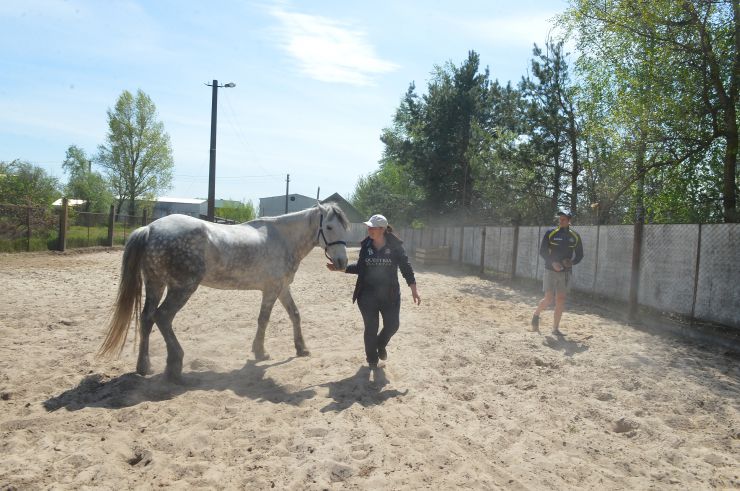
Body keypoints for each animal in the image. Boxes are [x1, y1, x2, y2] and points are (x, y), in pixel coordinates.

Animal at [97, 202, 348, 382]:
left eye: (344, 227)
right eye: (329, 227)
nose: (342, 262)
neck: (282, 239)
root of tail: (149, 228)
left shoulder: (282, 287)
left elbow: (294, 315)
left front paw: (301, 348)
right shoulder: (272, 289)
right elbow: (263, 320)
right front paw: (260, 352)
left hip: (156, 284)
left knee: (147, 318)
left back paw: (144, 367)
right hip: (183, 287)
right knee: (163, 317)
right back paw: (174, 365)